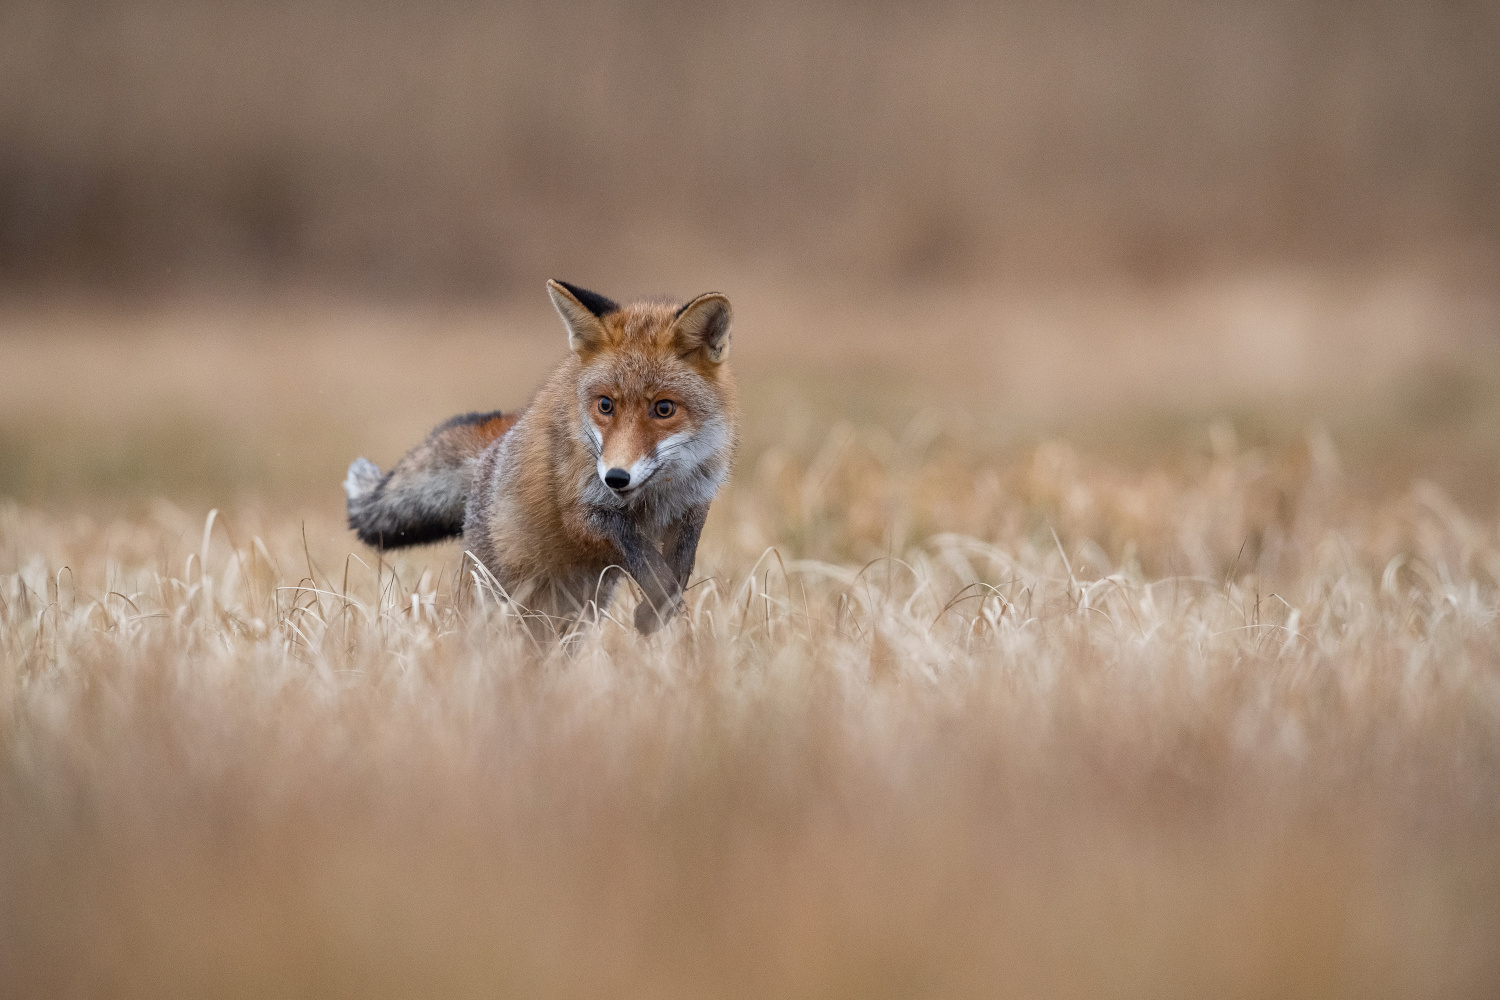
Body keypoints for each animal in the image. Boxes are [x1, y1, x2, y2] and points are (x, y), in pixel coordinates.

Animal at [342, 281, 738, 638]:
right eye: (605, 405)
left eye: (664, 408)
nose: (616, 477)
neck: (656, 493)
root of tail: (496, 443)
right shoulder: (583, 512)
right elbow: (646, 559)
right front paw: (655, 611)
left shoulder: (693, 504)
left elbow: (679, 569)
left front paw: (659, 612)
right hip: (495, 598)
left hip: (576, 611)